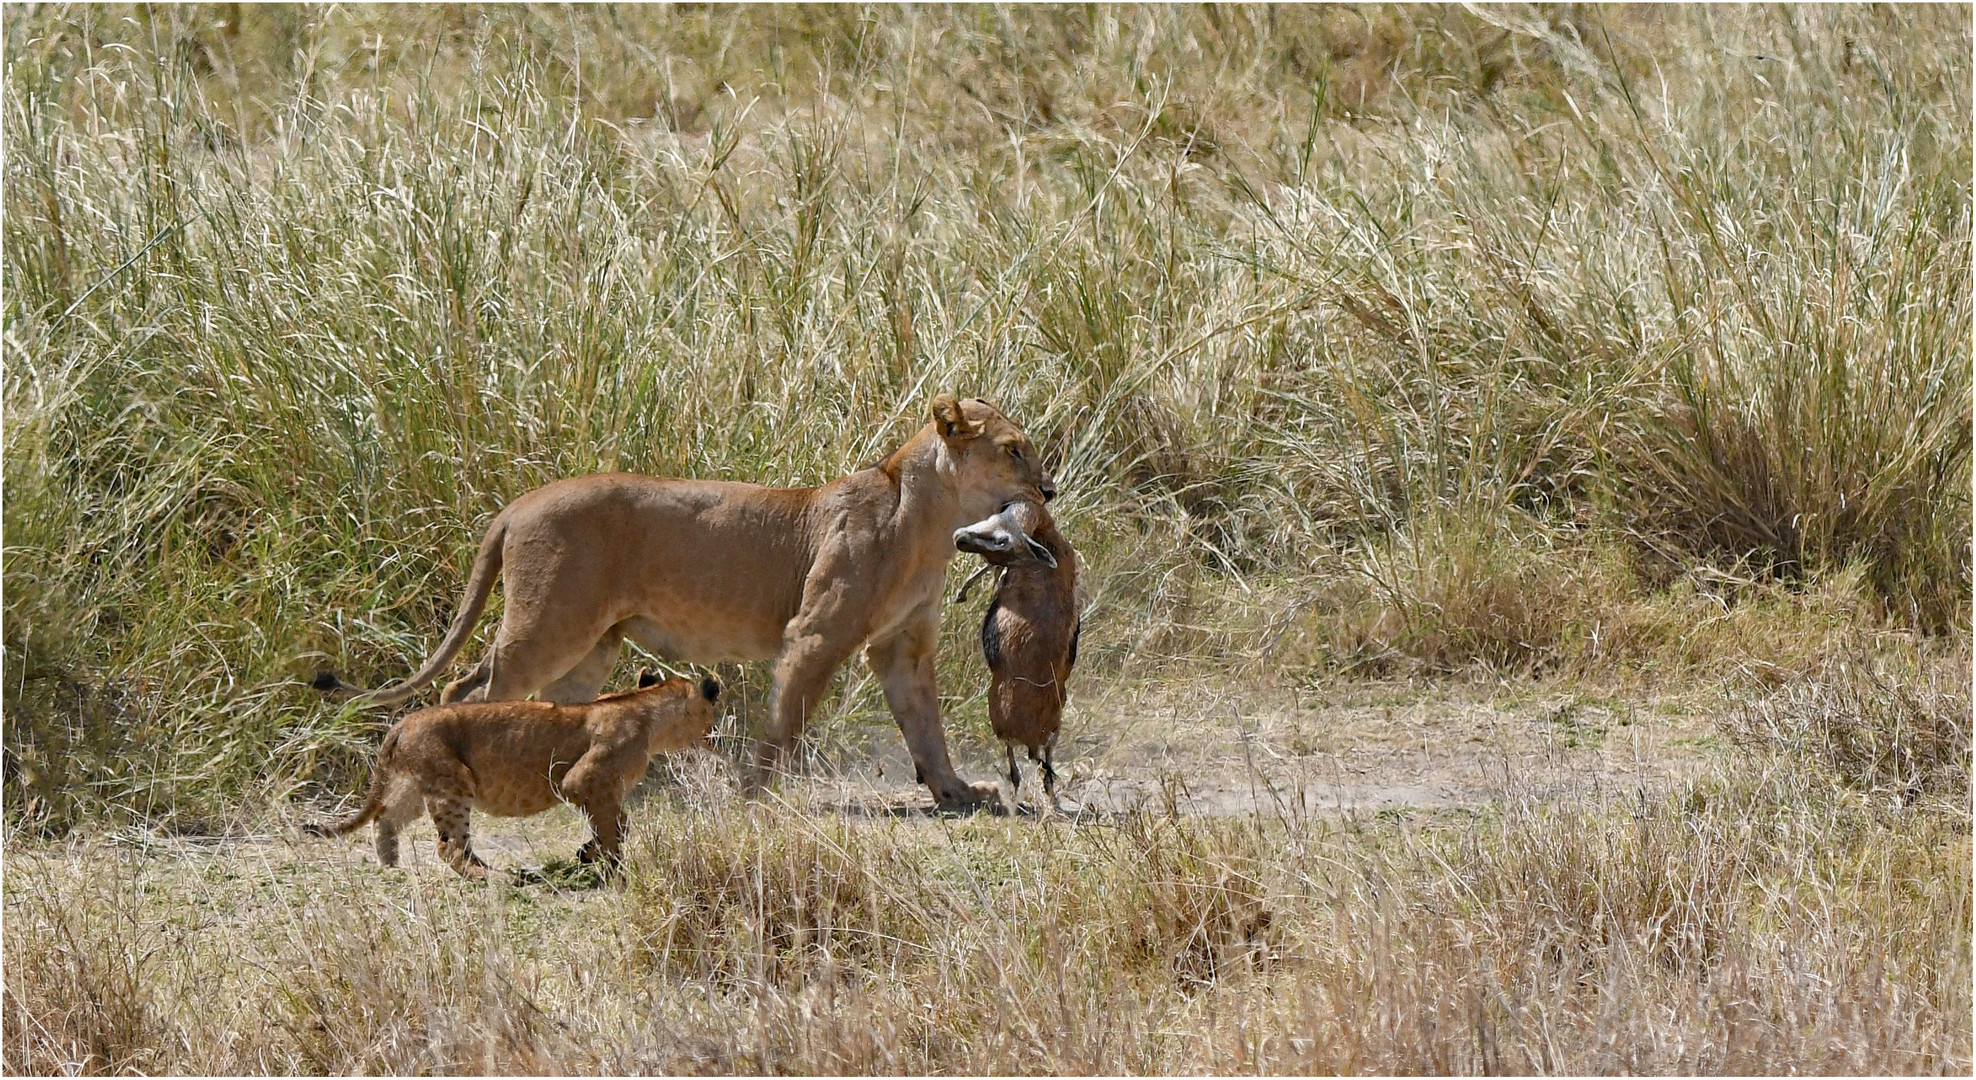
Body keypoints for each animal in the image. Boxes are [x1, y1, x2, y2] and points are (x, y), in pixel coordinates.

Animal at [952, 499, 1082, 801]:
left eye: (1003, 540)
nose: (960, 537)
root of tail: (1030, 736)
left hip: (1003, 723)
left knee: (1016, 764)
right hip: (1054, 722)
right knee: (1045, 759)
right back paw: (1050, 795)